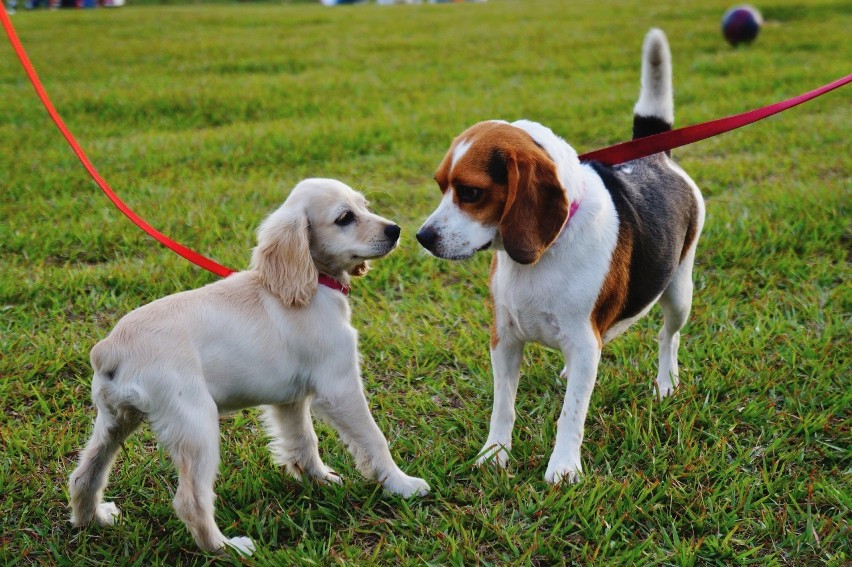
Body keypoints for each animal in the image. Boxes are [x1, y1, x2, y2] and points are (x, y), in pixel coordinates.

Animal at [69, 179, 430, 556]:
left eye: (364, 206)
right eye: (345, 218)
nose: (395, 230)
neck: (313, 284)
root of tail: (110, 348)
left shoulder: (290, 400)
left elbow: (303, 440)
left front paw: (317, 479)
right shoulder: (339, 387)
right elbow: (374, 439)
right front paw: (402, 484)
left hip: (115, 420)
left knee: (84, 475)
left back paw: (93, 520)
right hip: (196, 424)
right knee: (190, 501)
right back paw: (228, 548)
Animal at [416, 30, 704, 484]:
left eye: (471, 193)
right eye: (441, 185)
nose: (422, 237)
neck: (542, 254)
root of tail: (655, 155)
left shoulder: (586, 343)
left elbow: (572, 414)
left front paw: (564, 468)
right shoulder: (505, 338)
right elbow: (503, 406)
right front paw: (494, 454)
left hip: (679, 293)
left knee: (667, 337)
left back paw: (666, 382)